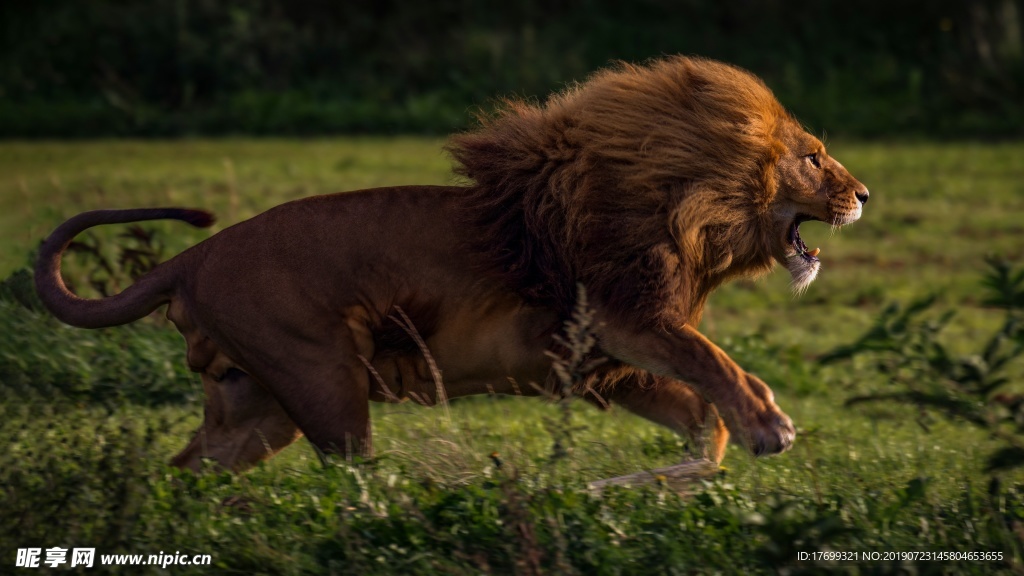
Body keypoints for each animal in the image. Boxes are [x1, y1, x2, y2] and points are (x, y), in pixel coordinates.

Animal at [32, 56, 868, 469]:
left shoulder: (600, 361)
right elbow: (720, 363)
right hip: (323, 378)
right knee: (352, 476)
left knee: (188, 470)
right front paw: (770, 429)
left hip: (254, 404)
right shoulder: (627, 319)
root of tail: (194, 255)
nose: (862, 193)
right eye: (814, 157)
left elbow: (699, 417)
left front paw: (658, 481)